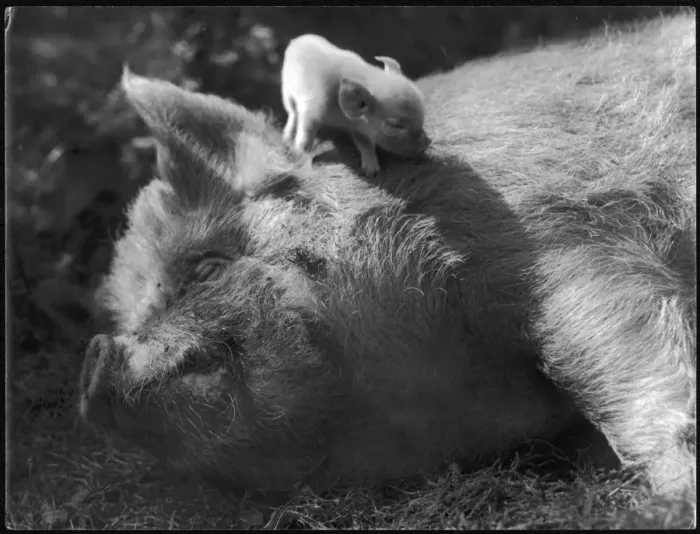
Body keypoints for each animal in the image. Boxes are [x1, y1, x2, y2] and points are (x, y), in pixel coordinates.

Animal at [281, 33, 431, 178]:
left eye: (421, 119)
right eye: (395, 125)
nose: (428, 142)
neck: (339, 118)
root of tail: (297, 40)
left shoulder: (358, 126)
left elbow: (364, 143)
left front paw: (371, 172)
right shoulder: (311, 110)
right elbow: (306, 134)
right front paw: (301, 156)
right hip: (287, 92)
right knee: (292, 113)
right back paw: (286, 136)